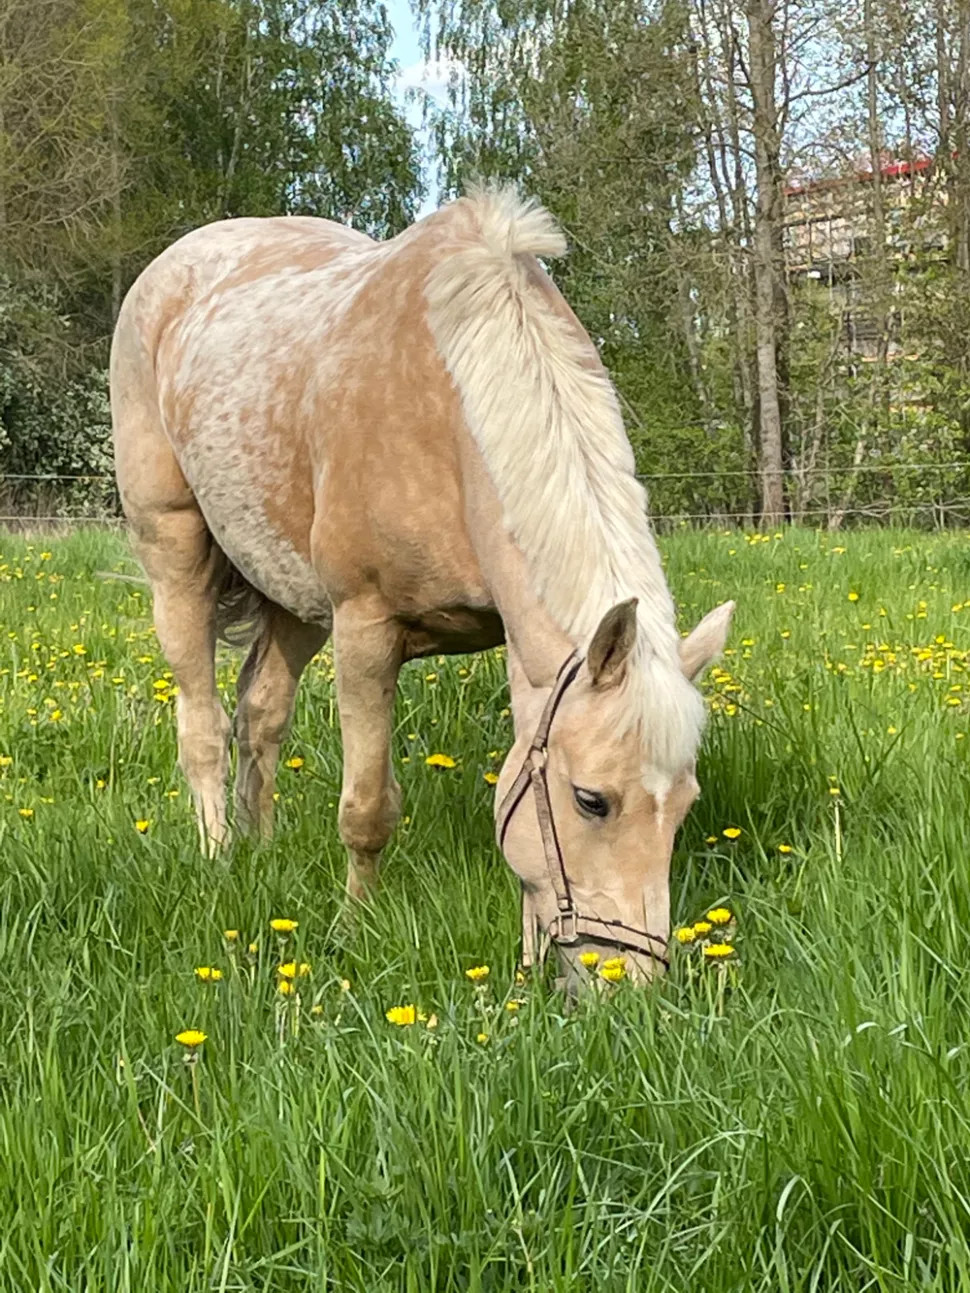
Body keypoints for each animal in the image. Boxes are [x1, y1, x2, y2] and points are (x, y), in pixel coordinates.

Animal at [110, 187, 734, 987]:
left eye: (684, 804)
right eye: (592, 800)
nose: (628, 983)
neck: (449, 408)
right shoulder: (365, 629)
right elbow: (366, 809)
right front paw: (352, 929)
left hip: (292, 594)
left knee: (262, 714)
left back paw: (260, 845)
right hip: (177, 551)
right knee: (204, 725)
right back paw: (220, 856)